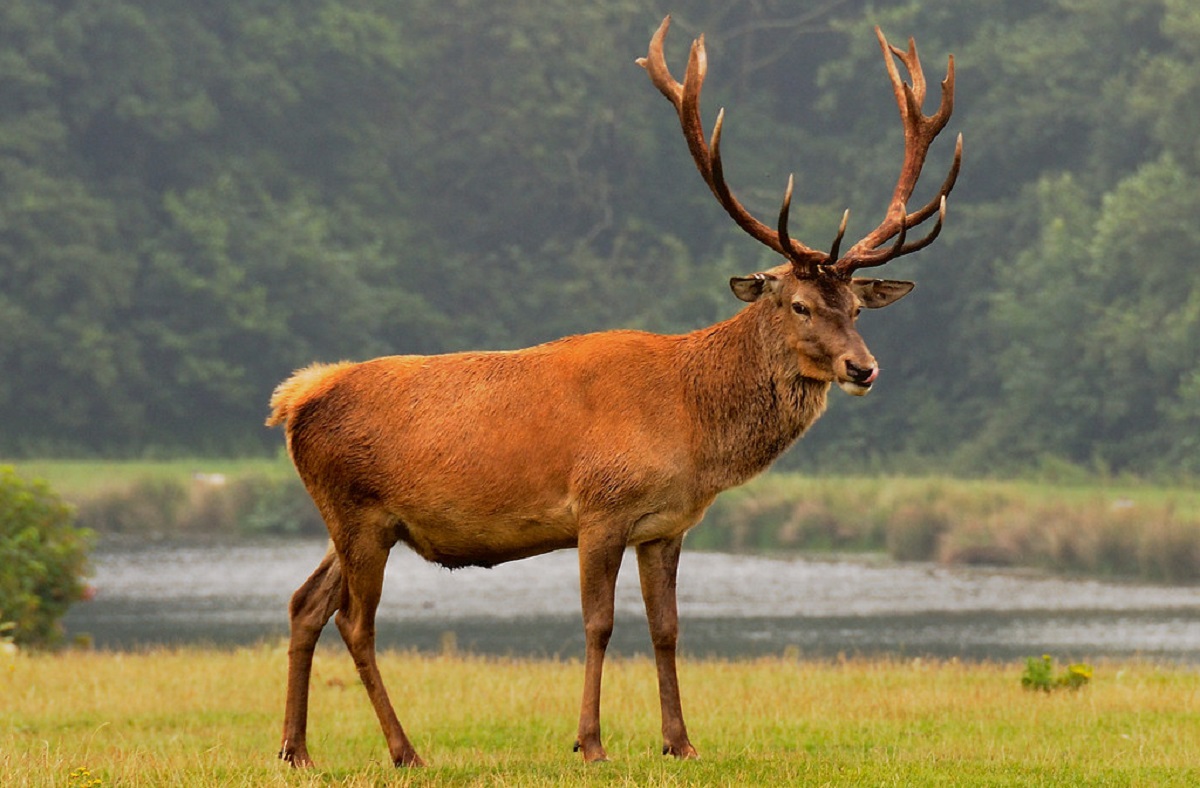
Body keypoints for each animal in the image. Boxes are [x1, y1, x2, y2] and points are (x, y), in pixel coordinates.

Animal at [266, 14, 960, 768]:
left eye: (857, 309)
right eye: (800, 305)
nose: (864, 368)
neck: (692, 425)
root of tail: (294, 399)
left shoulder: (666, 526)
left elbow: (667, 628)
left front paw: (680, 742)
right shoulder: (598, 508)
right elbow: (598, 623)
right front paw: (590, 742)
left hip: (361, 521)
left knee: (304, 603)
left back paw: (296, 750)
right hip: (356, 511)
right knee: (354, 621)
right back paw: (404, 751)